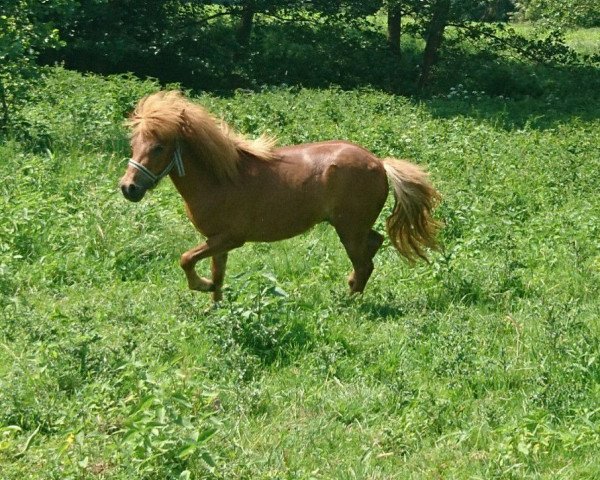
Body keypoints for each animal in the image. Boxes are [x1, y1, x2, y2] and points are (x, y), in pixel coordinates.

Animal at [120, 91, 440, 300]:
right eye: (134, 143)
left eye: (159, 147)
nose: (128, 188)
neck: (221, 178)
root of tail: (381, 164)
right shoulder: (216, 241)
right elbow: (218, 277)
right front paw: (214, 308)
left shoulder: (230, 238)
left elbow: (186, 259)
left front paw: (202, 286)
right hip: (354, 228)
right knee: (374, 246)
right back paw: (351, 286)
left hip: (349, 230)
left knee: (365, 263)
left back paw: (349, 302)